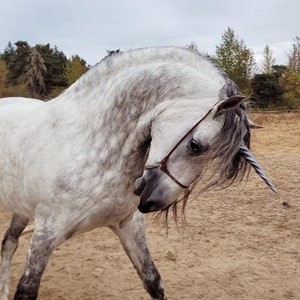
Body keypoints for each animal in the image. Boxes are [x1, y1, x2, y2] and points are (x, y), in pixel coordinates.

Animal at [0, 45, 274, 298]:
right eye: (196, 145)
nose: (152, 201)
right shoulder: (45, 234)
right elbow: (26, 289)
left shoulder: (128, 225)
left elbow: (153, 282)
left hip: (21, 208)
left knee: (8, 243)